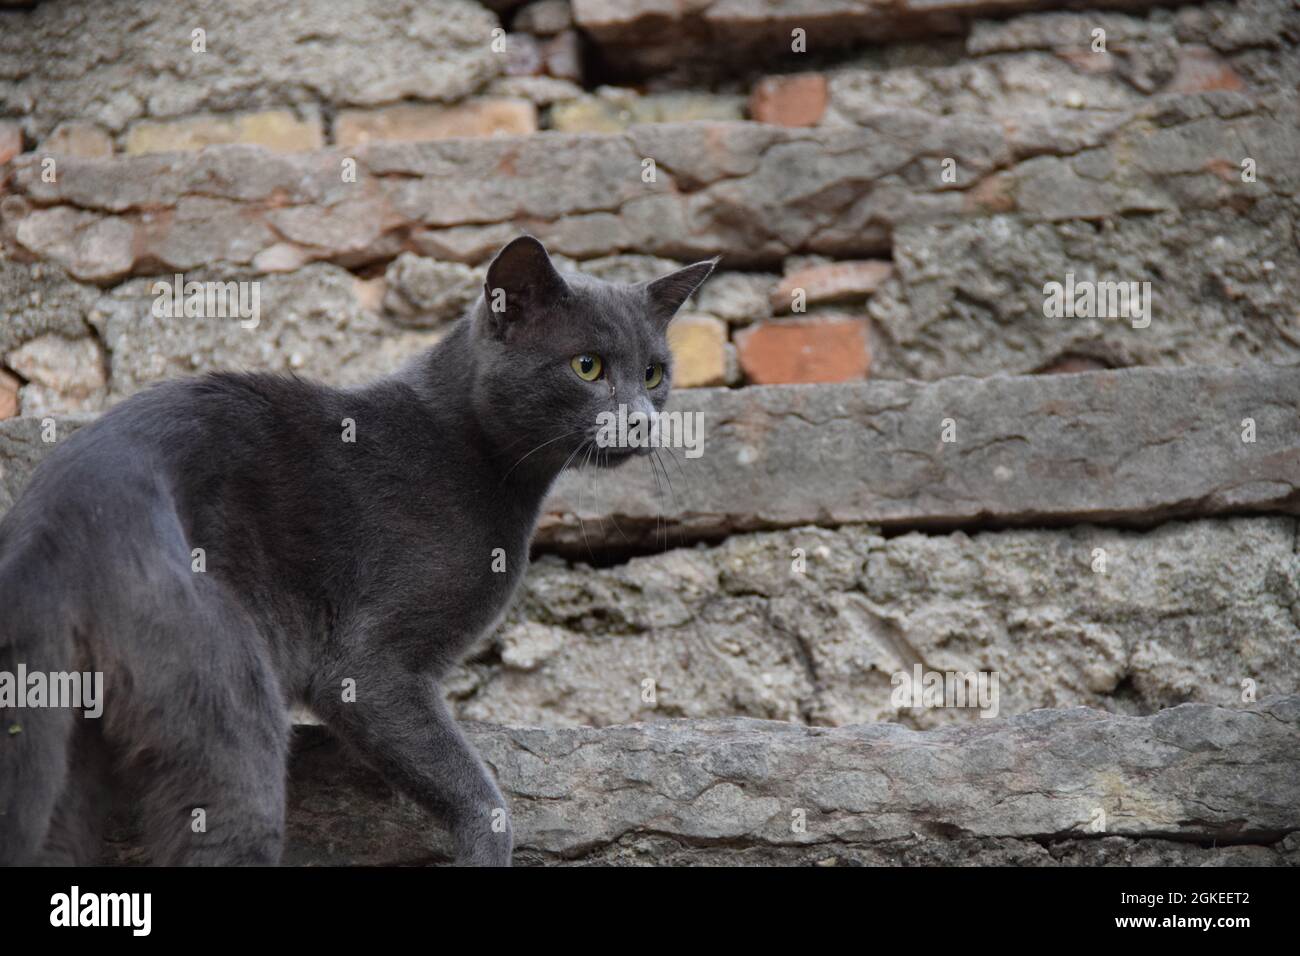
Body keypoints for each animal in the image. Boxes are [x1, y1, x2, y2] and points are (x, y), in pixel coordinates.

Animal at [0, 238, 717, 868]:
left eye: (653, 373)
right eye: (587, 366)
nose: (644, 420)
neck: (490, 467)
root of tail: (55, 520)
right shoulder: (370, 667)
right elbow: (479, 796)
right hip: (227, 704)